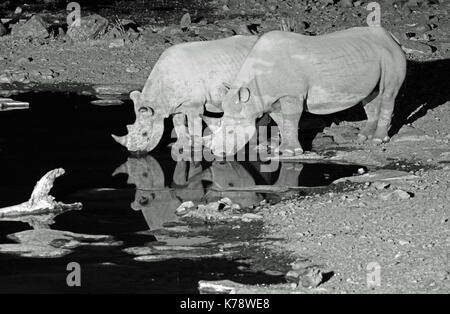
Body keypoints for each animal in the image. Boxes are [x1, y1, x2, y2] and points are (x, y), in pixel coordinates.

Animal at [111, 35, 256, 153]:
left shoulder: (194, 104)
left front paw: (196, 147)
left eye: (145, 134)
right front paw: (179, 145)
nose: (133, 152)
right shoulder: (176, 105)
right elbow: (178, 123)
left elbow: (193, 125)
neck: (158, 101)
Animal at [204, 26, 408, 156]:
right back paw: (364, 136)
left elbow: (291, 119)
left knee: (388, 93)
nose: (215, 152)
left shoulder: (291, 95)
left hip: (391, 55)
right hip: (374, 55)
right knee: (371, 95)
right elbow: (282, 121)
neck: (253, 92)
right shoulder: (271, 100)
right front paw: (283, 149)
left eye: (231, 132)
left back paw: (378, 140)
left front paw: (290, 151)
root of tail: (391, 36)